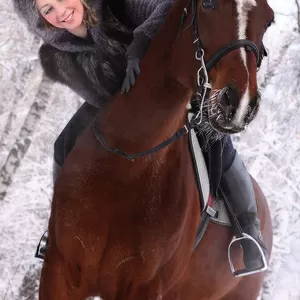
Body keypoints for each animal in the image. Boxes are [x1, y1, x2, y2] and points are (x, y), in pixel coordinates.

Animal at [39, 0, 274, 298]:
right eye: (208, 4)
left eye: (269, 20)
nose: (240, 104)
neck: (128, 159)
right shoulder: (59, 270)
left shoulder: (144, 288)